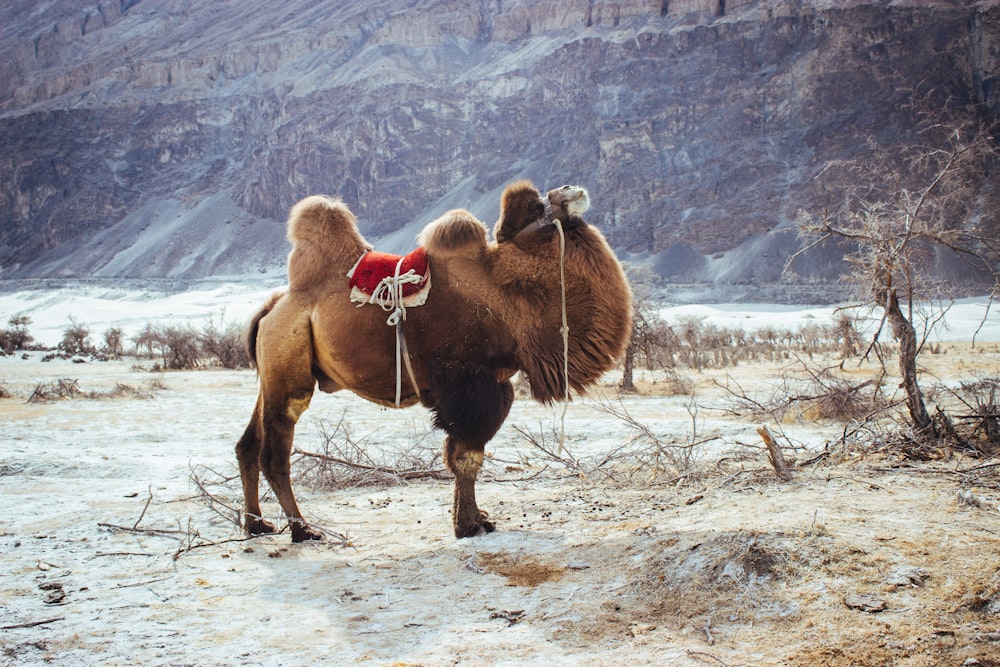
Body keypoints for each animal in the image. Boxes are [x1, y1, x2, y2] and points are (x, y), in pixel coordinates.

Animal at [236, 180, 632, 540]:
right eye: (536, 207)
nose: (571, 188)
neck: (505, 294)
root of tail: (273, 308)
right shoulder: (468, 383)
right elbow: (465, 457)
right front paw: (469, 525)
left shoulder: (496, 385)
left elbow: (463, 456)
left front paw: (476, 518)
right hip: (288, 368)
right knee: (275, 453)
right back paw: (301, 529)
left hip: (272, 372)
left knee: (248, 445)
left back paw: (256, 525)